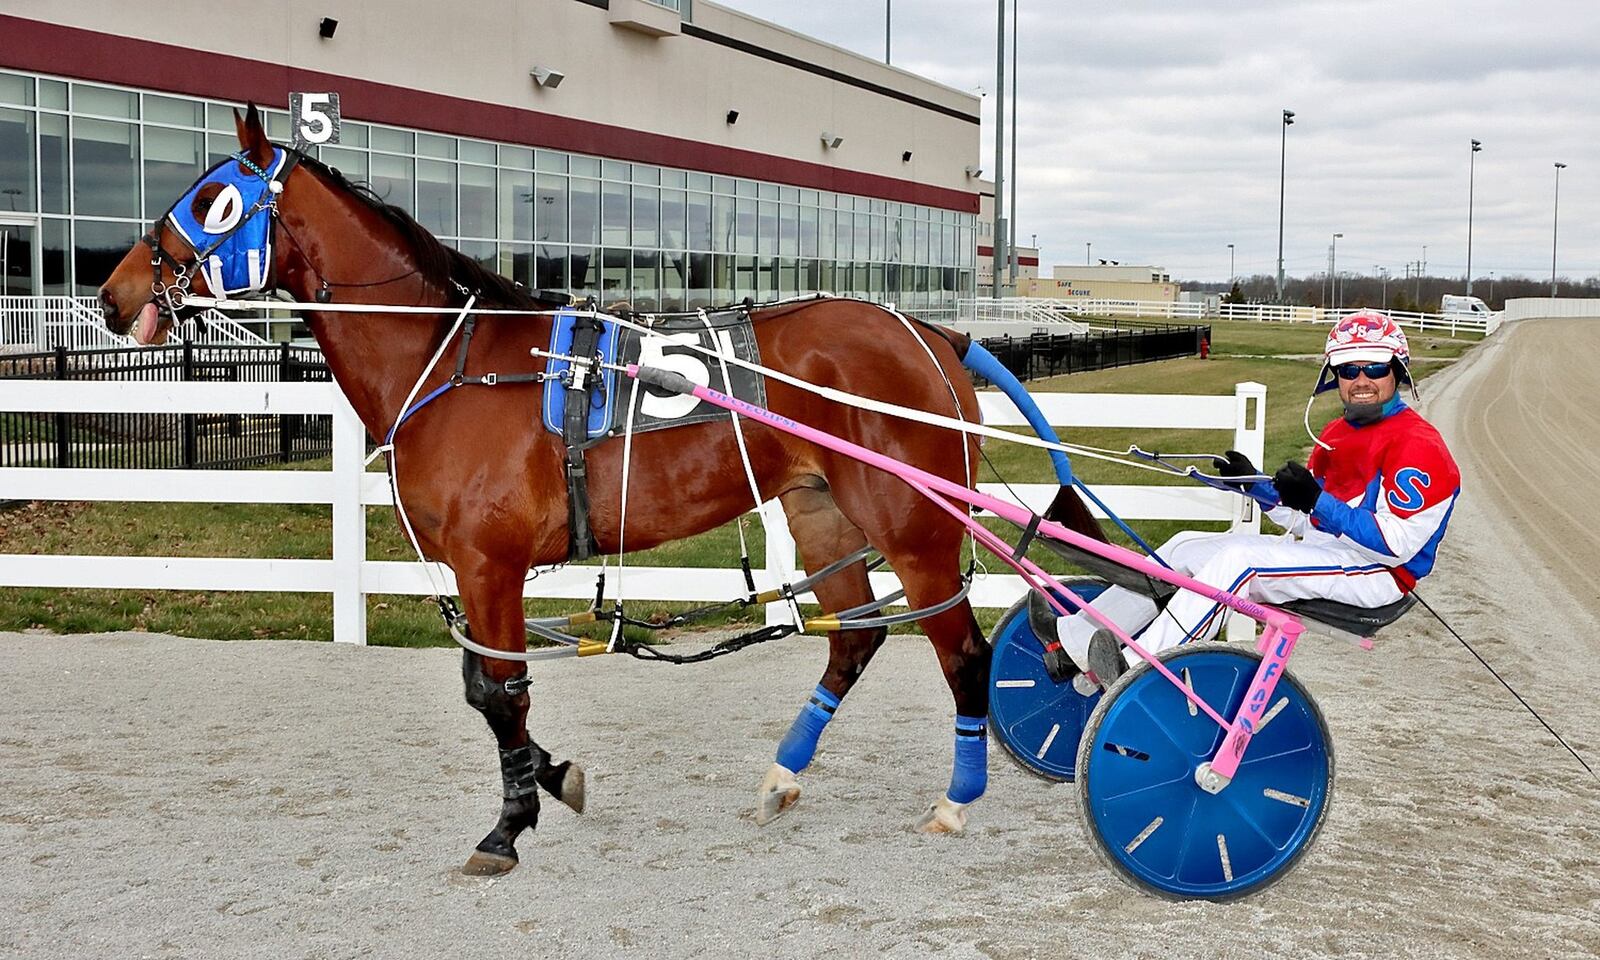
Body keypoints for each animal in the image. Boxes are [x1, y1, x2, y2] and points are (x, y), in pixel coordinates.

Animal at [96, 107, 1088, 876]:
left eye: (211, 200)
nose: (113, 292)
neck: (453, 362)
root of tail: (933, 333)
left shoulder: (488, 562)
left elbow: (500, 694)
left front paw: (508, 825)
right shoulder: (481, 569)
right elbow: (489, 691)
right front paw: (550, 777)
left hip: (914, 524)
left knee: (963, 654)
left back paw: (957, 796)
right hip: (824, 513)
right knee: (853, 640)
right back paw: (782, 775)